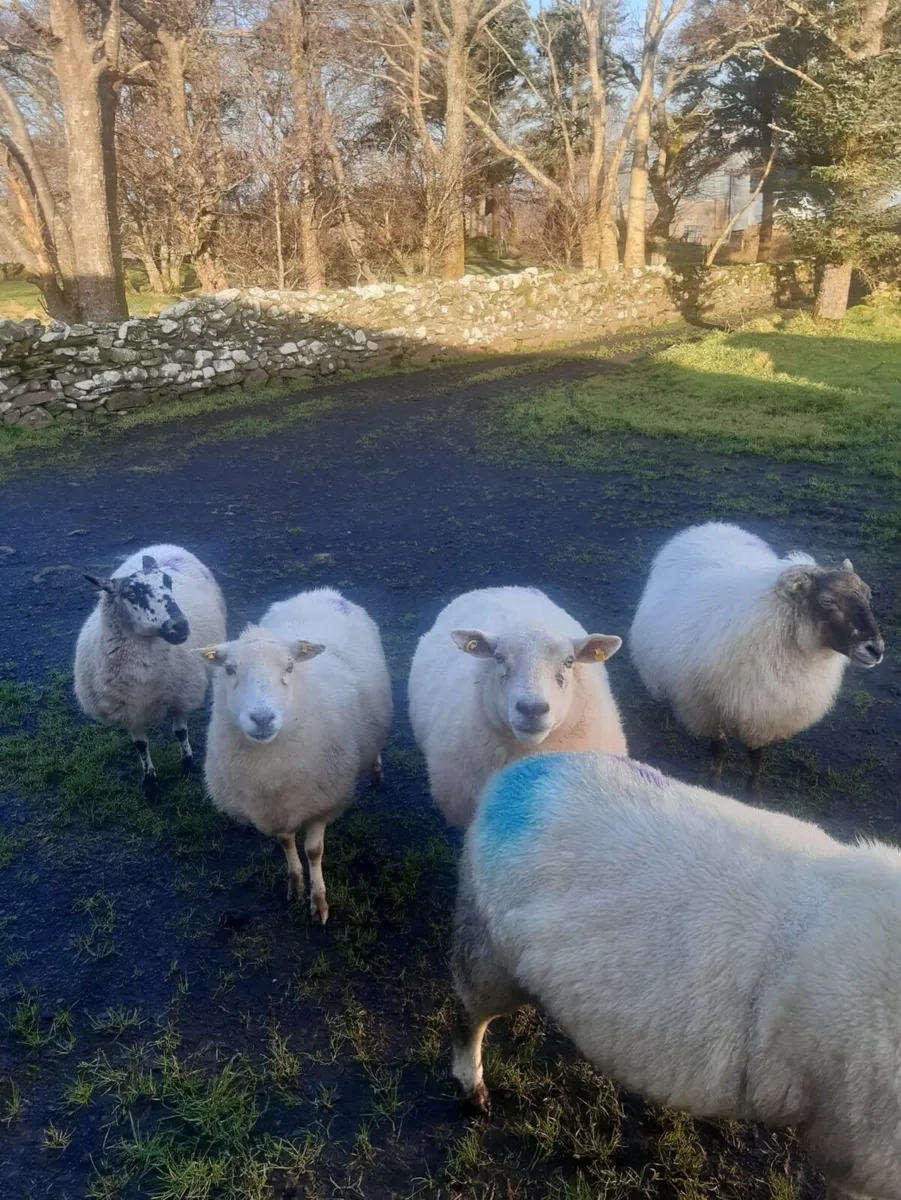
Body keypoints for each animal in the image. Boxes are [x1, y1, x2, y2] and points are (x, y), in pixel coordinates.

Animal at [74, 543, 226, 799]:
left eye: (169, 582)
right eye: (131, 594)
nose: (180, 626)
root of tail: (162, 546)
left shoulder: (179, 696)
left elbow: (180, 733)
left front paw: (188, 765)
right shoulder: (128, 709)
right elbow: (141, 746)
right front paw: (150, 783)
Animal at [203, 587, 392, 923]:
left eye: (290, 667)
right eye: (229, 669)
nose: (262, 719)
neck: (269, 764)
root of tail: (321, 592)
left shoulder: (322, 800)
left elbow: (313, 851)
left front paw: (319, 901)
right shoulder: (273, 806)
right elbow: (285, 841)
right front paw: (296, 884)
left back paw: (376, 772)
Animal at [629, 522, 883, 792]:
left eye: (868, 595)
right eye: (827, 600)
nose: (876, 649)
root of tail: (711, 525)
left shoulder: (763, 712)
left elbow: (755, 759)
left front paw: (752, 793)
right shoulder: (709, 709)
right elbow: (718, 753)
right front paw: (714, 785)